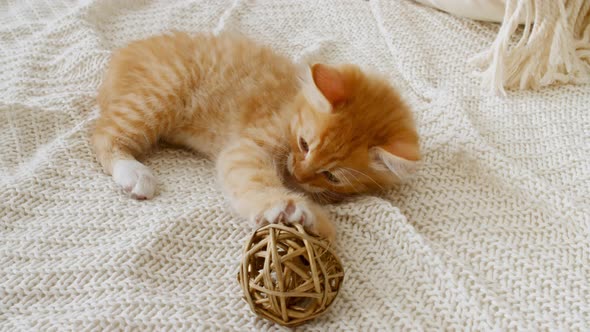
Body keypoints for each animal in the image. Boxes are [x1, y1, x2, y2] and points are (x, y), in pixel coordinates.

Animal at [91, 31, 420, 240]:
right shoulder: (250, 145)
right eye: (304, 144)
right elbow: (253, 177)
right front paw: (293, 209)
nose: (298, 175)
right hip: (159, 95)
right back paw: (132, 172)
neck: (292, 103)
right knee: (103, 135)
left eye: (331, 176)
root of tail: (125, 52)